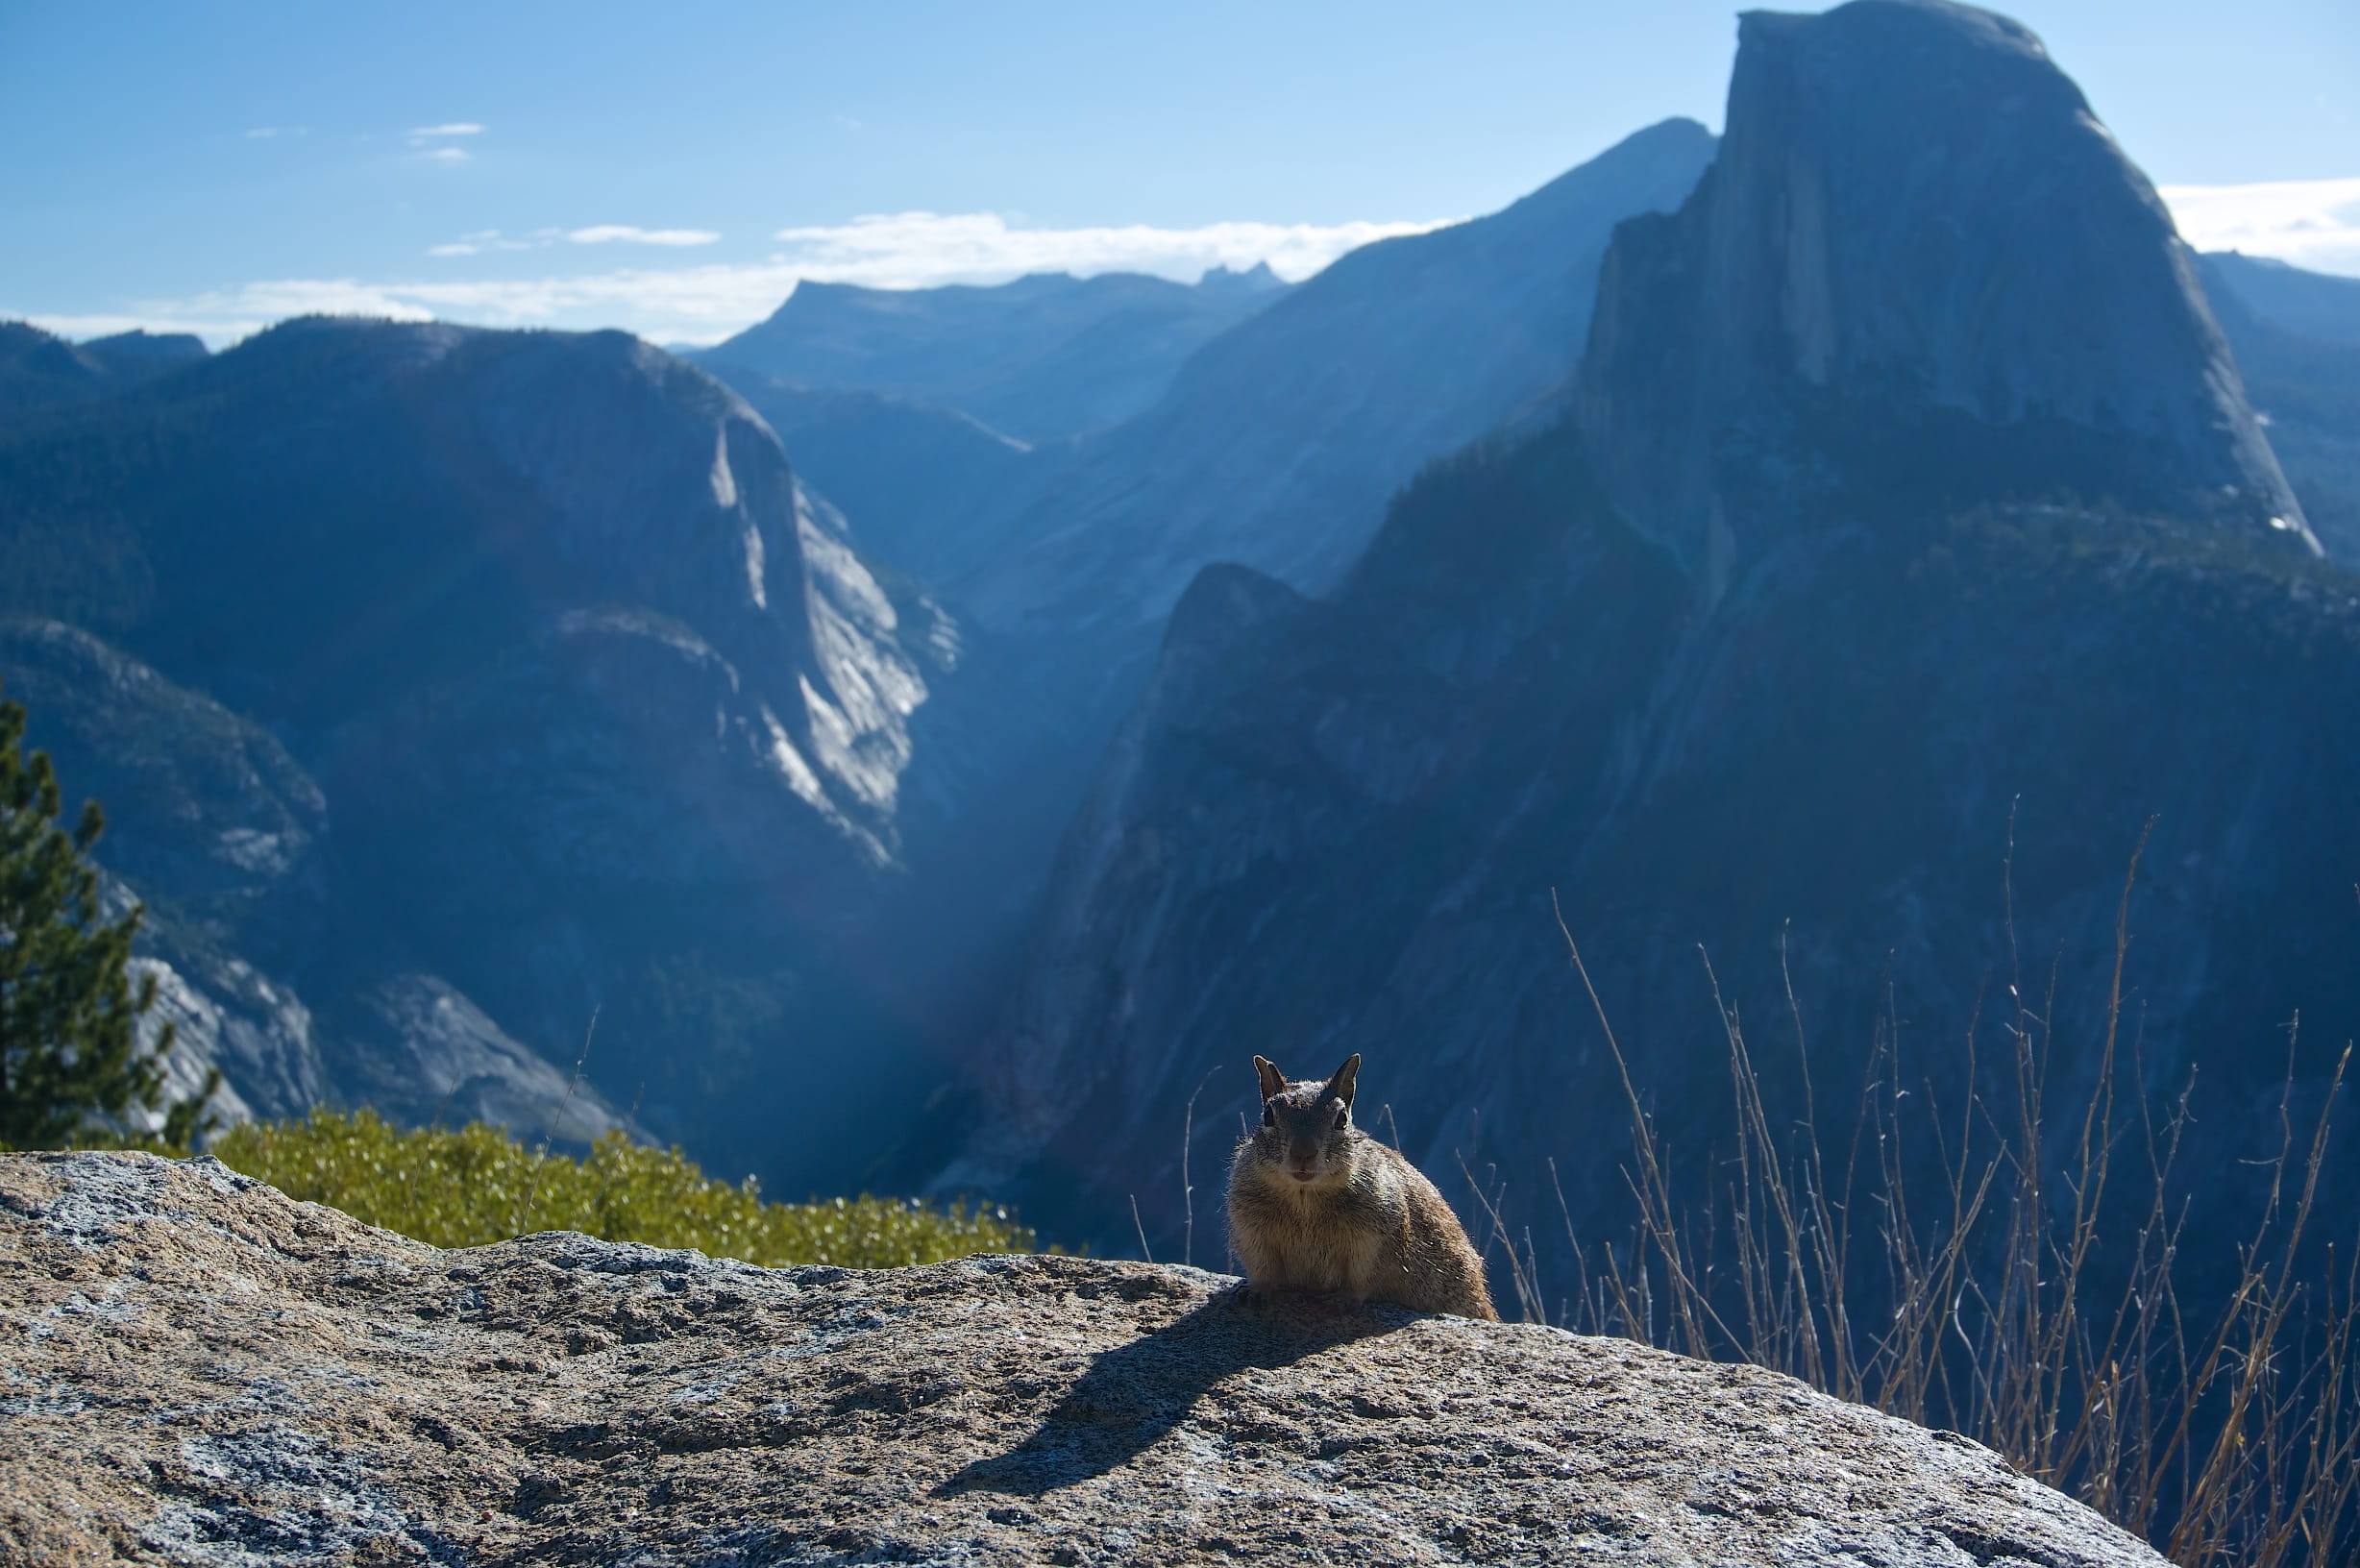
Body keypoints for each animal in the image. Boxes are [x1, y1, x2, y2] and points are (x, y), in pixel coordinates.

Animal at [1225, 1053, 1498, 1321]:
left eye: (1341, 1119)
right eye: (1268, 1115)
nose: (1303, 1153)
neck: (1304, 1198)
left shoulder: (1373, 1240)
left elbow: (1362, 1276)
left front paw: (1342, 1300)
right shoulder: (1251, 1231)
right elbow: (1263, 1268)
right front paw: (1256, 1292)